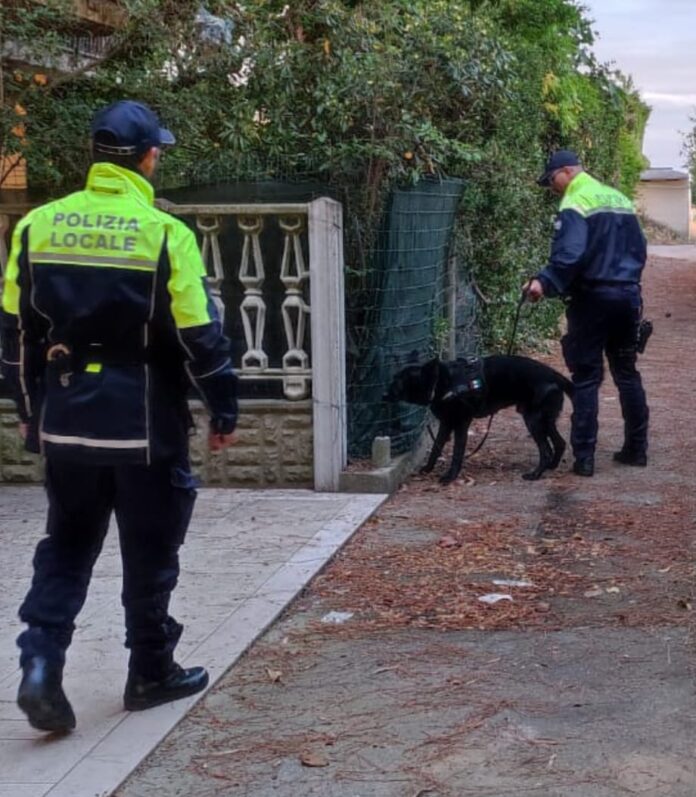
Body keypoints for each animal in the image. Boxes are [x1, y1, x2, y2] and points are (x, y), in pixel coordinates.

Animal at [384, 356, 572, 482]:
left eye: (397, 380)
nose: (383, 394)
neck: (440, 382)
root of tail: (554, 375)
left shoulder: (460, 424)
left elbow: (457, 452)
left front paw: (450, 476)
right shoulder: (446, 424)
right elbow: (436, 448)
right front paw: (428, 468)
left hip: (534, 421)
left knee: (546, 450)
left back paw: (536, 474)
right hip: (545, 421)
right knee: (560, 443)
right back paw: (552, 466)